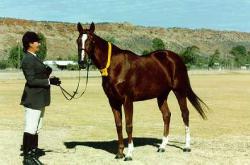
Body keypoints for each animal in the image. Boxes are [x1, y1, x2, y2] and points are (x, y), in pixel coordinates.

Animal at [75, 22, 207, 160]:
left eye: (91, 40)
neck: (115, 66)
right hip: (162, 95)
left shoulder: (127, 100)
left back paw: (187, 146)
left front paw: (129, 154)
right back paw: (162, 146)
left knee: (185, 114)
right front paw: (120, 153)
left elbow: (128, 125)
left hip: (179, 90)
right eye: (78, 41)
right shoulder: (113, 101)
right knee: (166, 115)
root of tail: (176, 58)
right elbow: (119, 125)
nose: (82, 63)